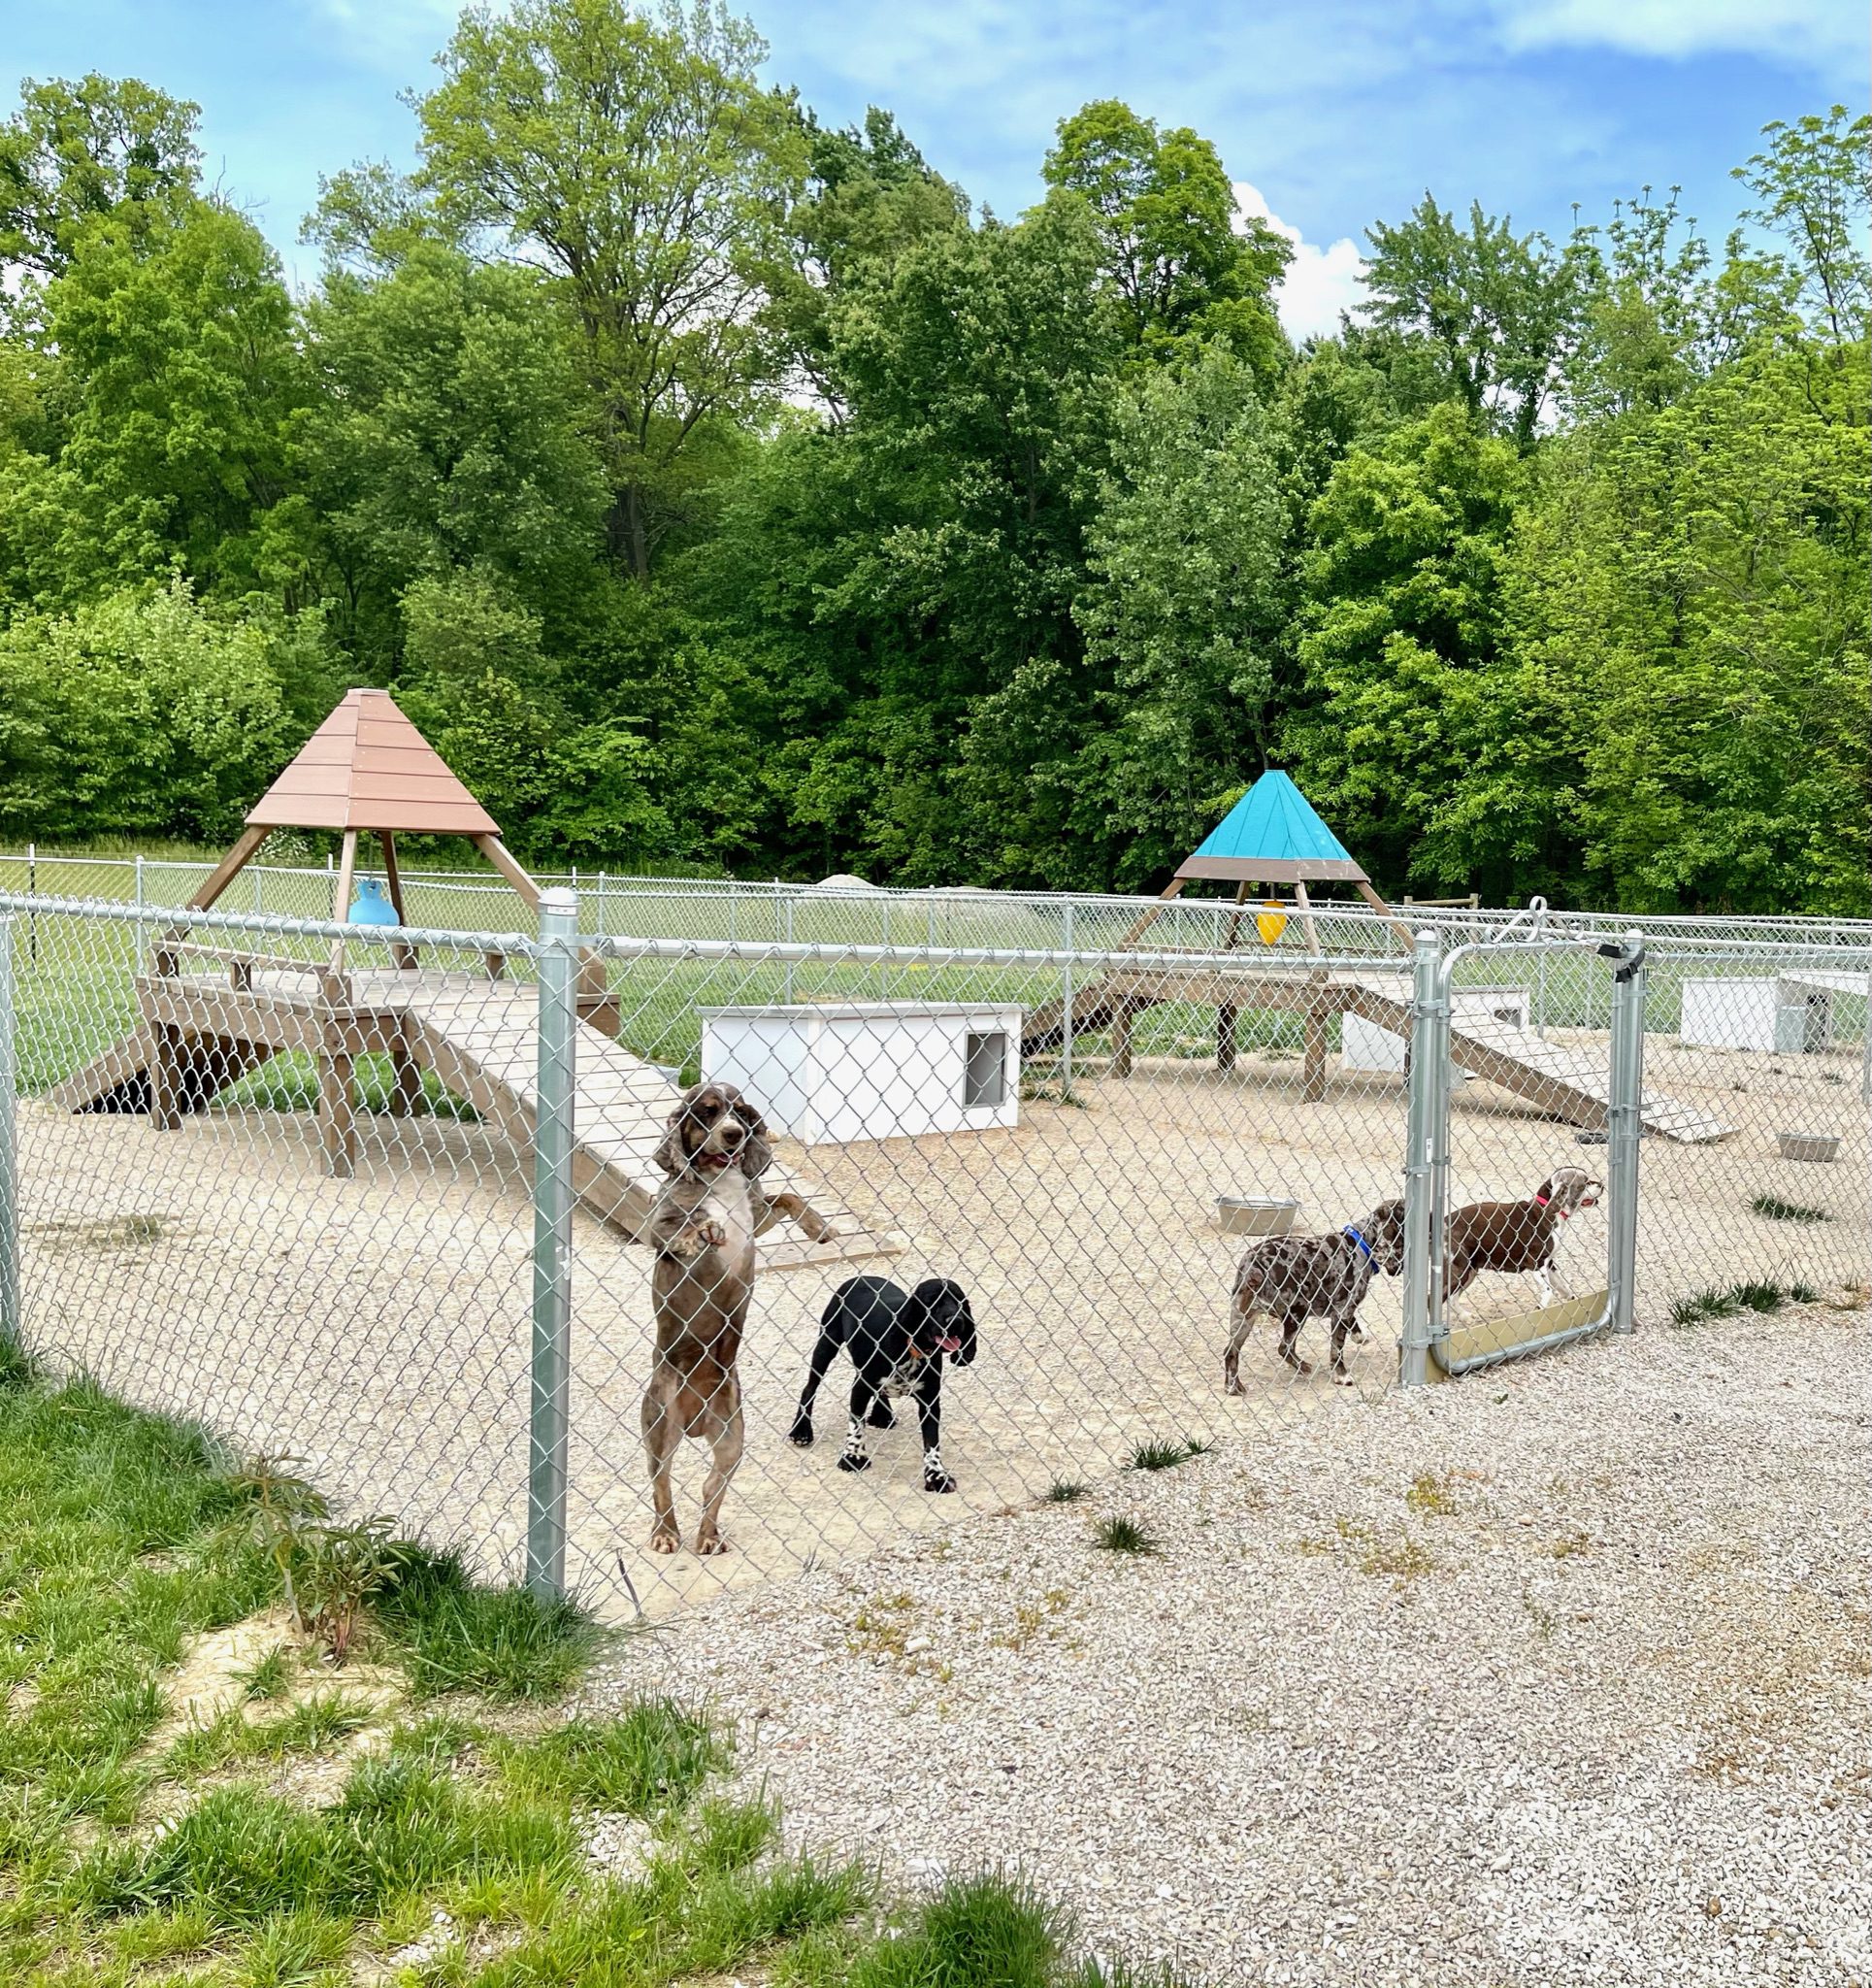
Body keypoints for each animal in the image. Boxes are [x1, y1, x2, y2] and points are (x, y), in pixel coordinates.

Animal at [647, 1089, 838, 1550]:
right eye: (706, 1112)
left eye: (739, 1111)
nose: (733, 1134)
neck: (720, 1179)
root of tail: (694, 1422)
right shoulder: (658, 1226)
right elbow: (683, 1227)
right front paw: (704, 1231)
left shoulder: (756, 1216)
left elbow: (787, 1195)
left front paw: (818, 1226)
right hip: (660, 1427)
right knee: (662, 1484)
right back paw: (666, 1535)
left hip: (732, 1438)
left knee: (709, 1488)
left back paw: (709, 1538)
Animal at [786, 1272, 981, 1495]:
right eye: (932, 1302)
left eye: (960, 1302)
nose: (956, 1321)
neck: (913, 1350)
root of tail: (862, 1276)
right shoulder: (860, 1387)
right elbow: (856, 1425)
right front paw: (853, 1456)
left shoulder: (930, 1401)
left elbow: (932, 1443)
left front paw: (936, 1475)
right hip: (826, 1344)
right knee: (809, 1388)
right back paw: (801, 1430)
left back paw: (882, 1414)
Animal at [1232, 1200, 1406, 1391]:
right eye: (1402, 1244)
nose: (1403, 1267)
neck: (1360, 1244)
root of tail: (1255, 1267)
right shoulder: (1342, 1311)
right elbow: (1337, 1350)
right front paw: (1341, 1375)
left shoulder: (1343, 1309)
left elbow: (1353, 1326)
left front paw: (1360, 1337)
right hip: (1298, 1313)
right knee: (1284, 1348)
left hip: (1243, 1320)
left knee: (1231, 1352)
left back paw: (1233, 1386)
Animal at [1446, 1161, 1605, 1304]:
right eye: (1586, 1182)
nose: (1602, 1185)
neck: (1546, 1210)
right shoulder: (1537, 1263)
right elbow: (1548, 1292)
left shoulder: (1549, 1263)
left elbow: (1564, 1288)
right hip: (1460, 1272)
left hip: (1470, 1271)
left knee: (1451, 1300)